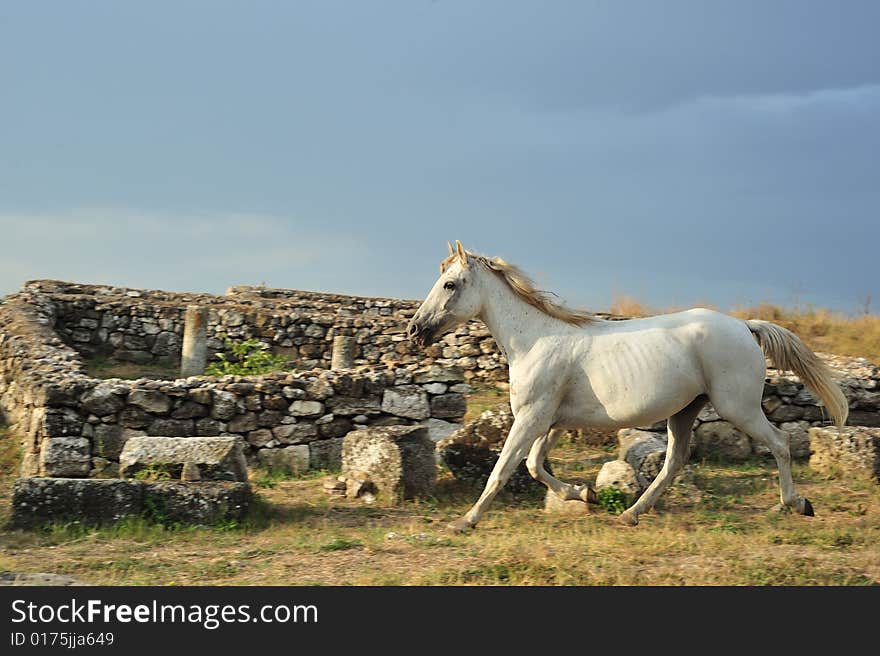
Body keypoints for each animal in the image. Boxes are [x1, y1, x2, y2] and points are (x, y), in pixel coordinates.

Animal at [410, 243, 848, 532]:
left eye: (450, 284)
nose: (415, 330)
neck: (535, 340)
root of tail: (745, 326)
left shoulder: (532, 418)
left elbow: (502, 469)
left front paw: (465, 521)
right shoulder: (550, 421)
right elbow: (535, 466)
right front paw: (584, 494)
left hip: (737, 407)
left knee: (778, 443)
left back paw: (796, 504)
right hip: (685, 411)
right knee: (674, 462)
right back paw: (631, 513)